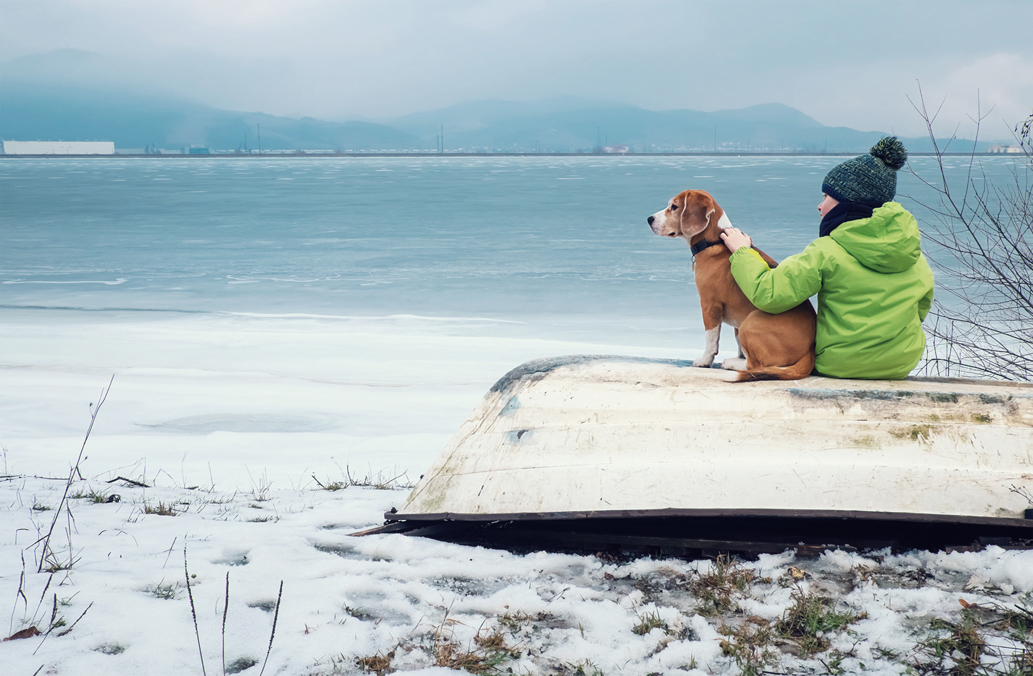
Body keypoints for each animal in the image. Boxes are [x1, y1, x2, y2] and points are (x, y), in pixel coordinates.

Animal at [644, 190, 814, 380]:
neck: (713, 241)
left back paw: (731, 363)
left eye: (674, 207)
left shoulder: (709, 306)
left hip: (750, 322)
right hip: (742, 325)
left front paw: (704, 361)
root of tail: (810, 351)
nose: (649, 219)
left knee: (754, 365)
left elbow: (711, 339)